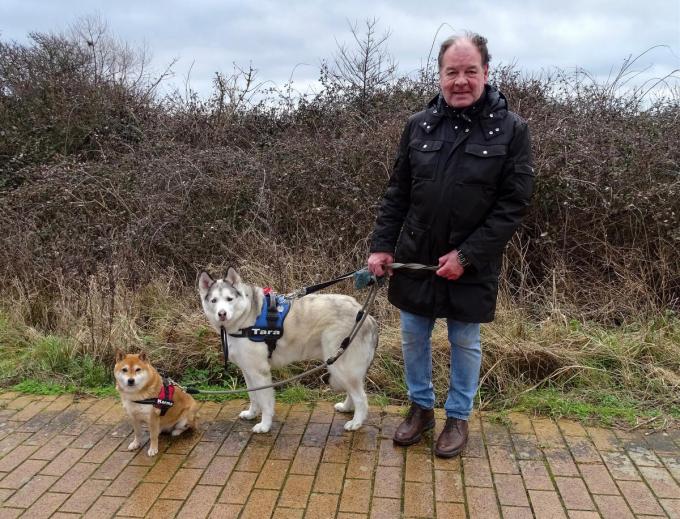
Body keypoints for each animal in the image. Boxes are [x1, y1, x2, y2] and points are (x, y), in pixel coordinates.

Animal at [198, 270, 378, 432]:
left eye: (229, 299)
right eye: (214, 300)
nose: (222, 314)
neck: (246, 316)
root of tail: (367, 316)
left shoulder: (260, 373)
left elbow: (265, 403)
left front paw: (265, 425)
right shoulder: (248, 371)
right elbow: (253, 398)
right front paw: (251, 414)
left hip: (340, 365)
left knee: (361, 398)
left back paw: (356, 423)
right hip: (340, 365)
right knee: (353, 393)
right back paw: (347, 407)